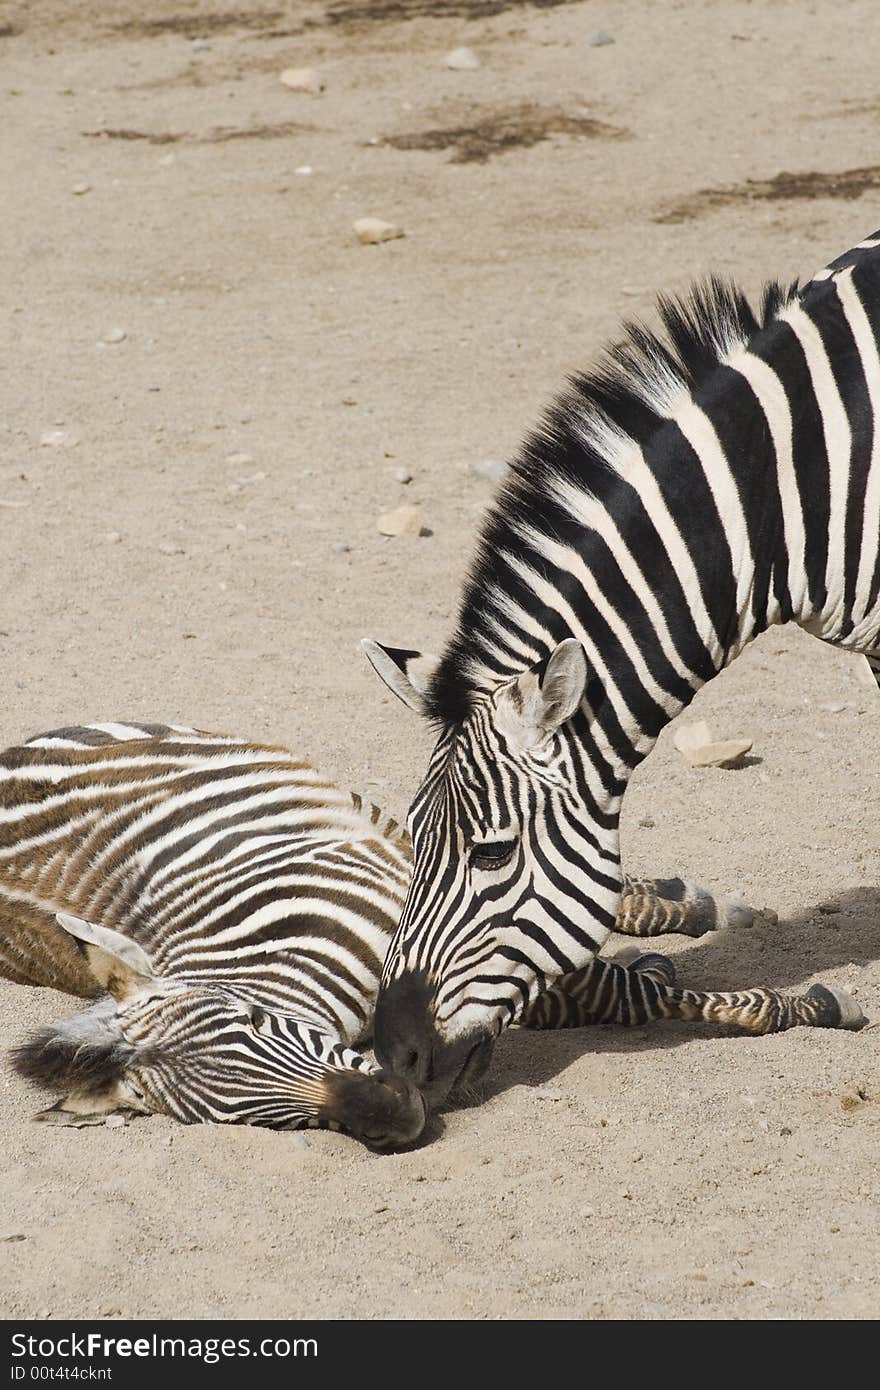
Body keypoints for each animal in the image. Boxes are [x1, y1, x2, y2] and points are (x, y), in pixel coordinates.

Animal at [0, 722, 867, 1145]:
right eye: (249, 1117)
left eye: (256, 1021)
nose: (392, 1120)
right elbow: (584, 991)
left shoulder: (424, 920)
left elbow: (608, 985)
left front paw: (805, 1007)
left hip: (342, 807)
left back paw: (683, 907)